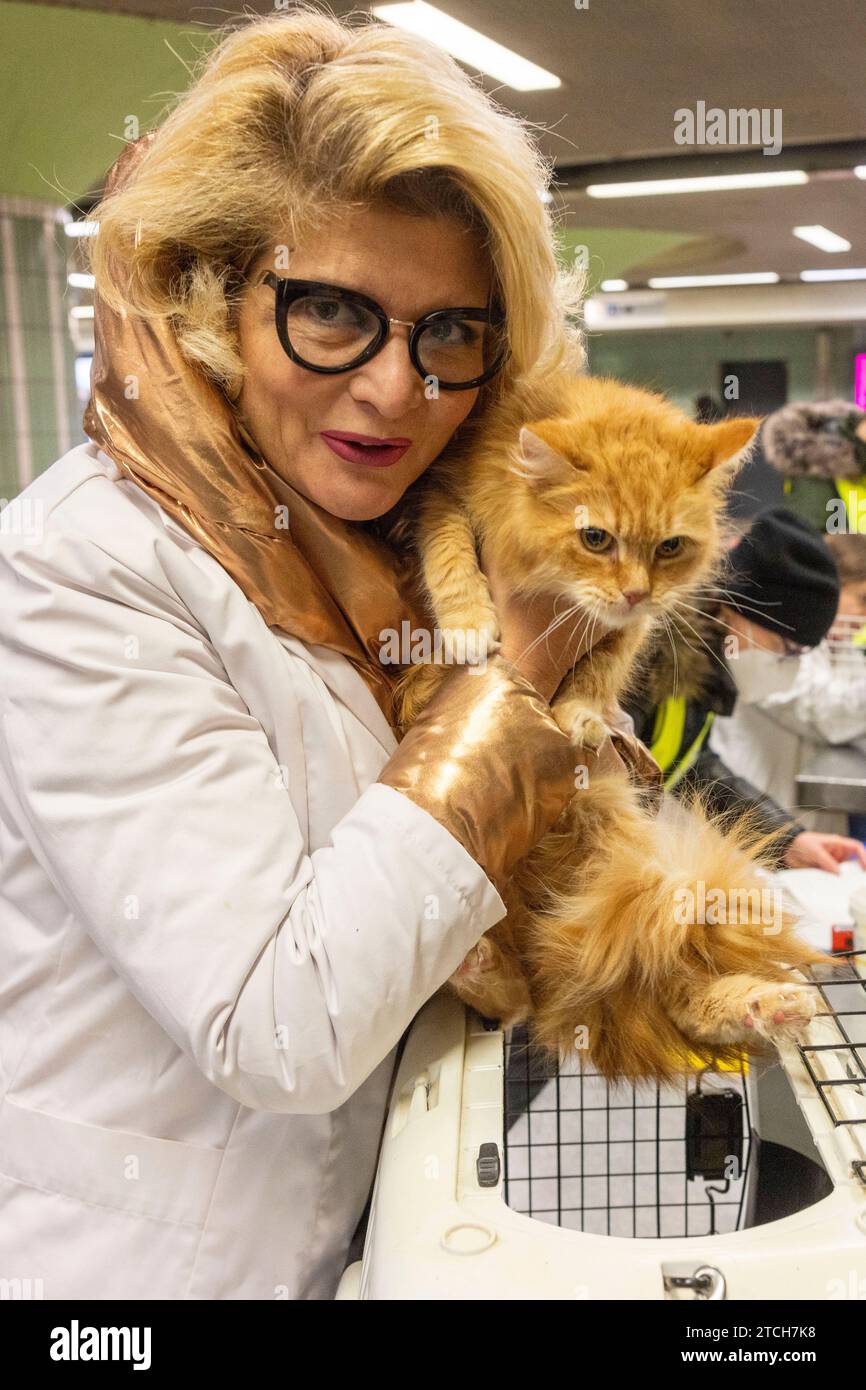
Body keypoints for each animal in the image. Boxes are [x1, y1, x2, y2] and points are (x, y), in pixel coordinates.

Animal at [389, 372, 828, 1084]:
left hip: (632, 888)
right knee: (517, 999)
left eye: (669, 547)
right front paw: (468, 622)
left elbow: (608, 659)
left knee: (656, 992)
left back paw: (769, 1003)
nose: (634, 590)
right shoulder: (443, 495)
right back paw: (475, 962)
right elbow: (451, 549)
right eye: (596, 539)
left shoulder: (635, 625)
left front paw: (583, 713)